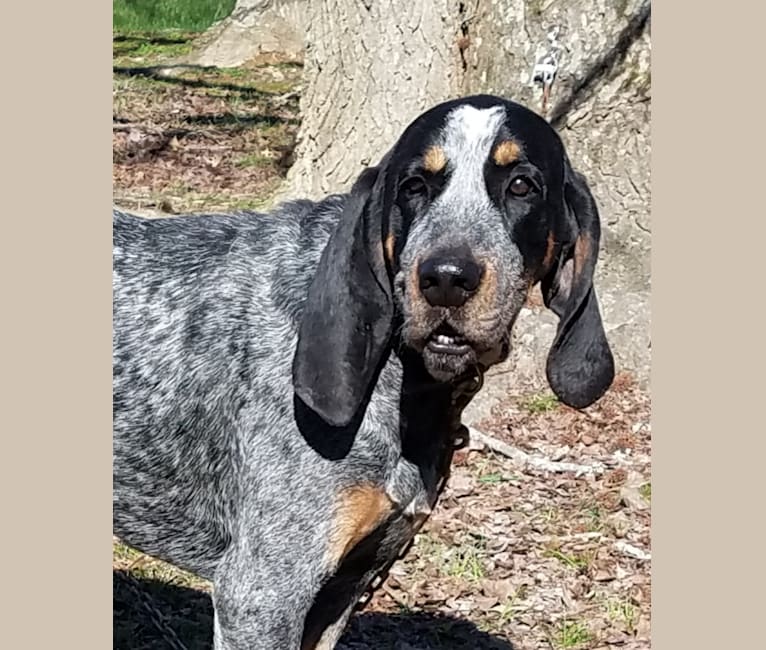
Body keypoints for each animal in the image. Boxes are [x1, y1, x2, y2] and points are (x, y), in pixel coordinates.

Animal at [114, 93, 616, 644]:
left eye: (522, 186)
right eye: (413, 187)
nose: (445, 278)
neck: (403, 382)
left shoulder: (343, 589)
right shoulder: (262, 597)